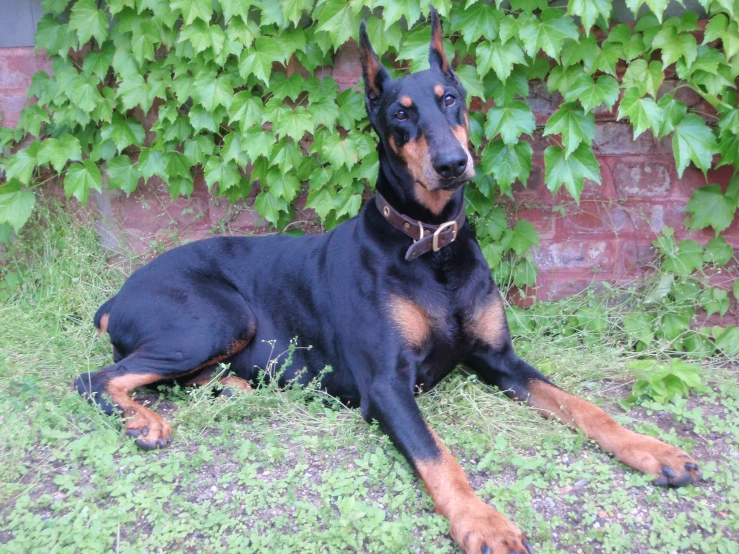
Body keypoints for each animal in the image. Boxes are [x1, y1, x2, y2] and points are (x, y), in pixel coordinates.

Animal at [78, 8, 704, 552]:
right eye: (401, 114)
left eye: (450, 99)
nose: (453, 164)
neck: (430, 246)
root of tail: (117, 295)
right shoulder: (385, 385)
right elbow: (437, 455)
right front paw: (485, 523)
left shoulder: (498, 358)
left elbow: (583, 406)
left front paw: (653, 449)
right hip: (218, 317)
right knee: (95, 378)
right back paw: (146, 422)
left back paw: (232, 386)